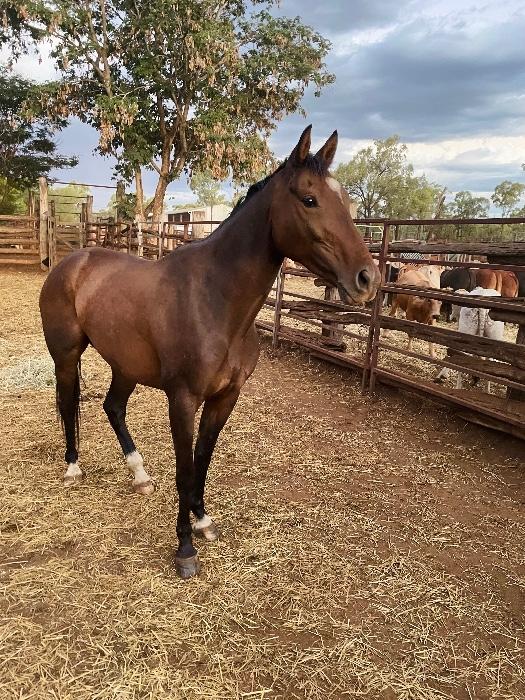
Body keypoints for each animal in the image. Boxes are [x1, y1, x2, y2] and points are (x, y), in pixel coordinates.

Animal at [39, 126, 380, 579]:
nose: (367, 278)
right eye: (309, 199)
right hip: (66, 357)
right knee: (68, 402)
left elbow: (203, 460)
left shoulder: (225, 398)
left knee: (113, 407)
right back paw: (73, 468)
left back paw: (139, 475)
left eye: (345, 200)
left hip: (125, 364)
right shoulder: (183, 400)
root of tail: (71, 261)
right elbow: (185, 470)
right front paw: (185, 549)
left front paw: (202, 521)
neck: (216, 300)